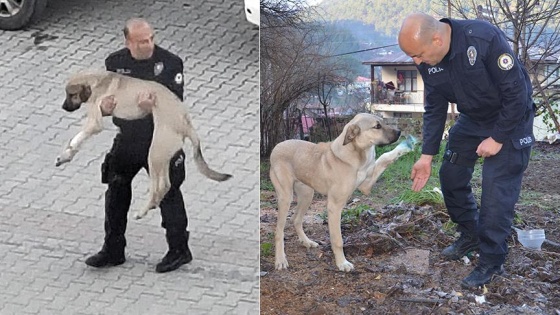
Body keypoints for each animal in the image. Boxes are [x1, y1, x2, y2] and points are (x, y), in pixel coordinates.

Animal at [57, 70, 232, 220]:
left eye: (70, 94)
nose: (63, 107)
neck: (98, 80)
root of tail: (186, 125)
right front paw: (67, 154)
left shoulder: (95, 121)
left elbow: (78, 137)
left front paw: (66, 154)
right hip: (163, 156)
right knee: (166, 185)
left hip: (155, 154)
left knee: (159, 186)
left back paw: (142, 211)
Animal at [85, 17, 194, 274]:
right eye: (143, 40)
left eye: (149, 38)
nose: (148, 43)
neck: (141, 60)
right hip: (125, 157)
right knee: (118, 185)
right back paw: (110, 254)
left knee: (171, 196)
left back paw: (176, 255)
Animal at [272, 113, 416, 272]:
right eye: (377, 126)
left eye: (383, 122)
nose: (399, 132)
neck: (356, 153)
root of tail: (277, 146)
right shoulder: (334, 206)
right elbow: (338, 240)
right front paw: (342, 263)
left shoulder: (366, 186)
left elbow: (384, 157)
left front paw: (404, 148)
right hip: (286, 197)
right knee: (279, 231)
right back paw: (280, 260)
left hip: (307, 194)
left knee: (296, 219)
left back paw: (306, 242)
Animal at [398, 12, 532, 288]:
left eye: (418, 54)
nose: (415, 62)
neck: (451, 51)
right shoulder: (432, 85)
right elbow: (435, 106)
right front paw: (424, 164)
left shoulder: (492, 44)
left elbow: (510, 86)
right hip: (466, 131)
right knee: (453, 175)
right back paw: (469, 240)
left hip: (516, 127)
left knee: (497, 192)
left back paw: (487, 266)